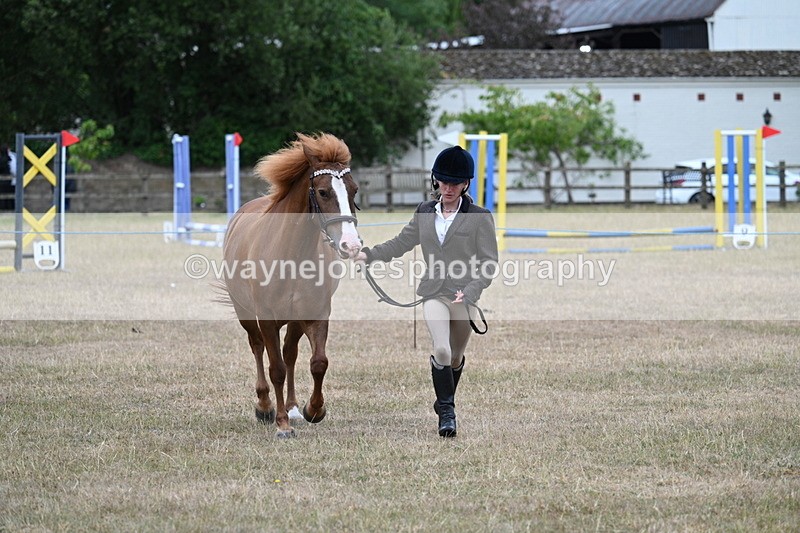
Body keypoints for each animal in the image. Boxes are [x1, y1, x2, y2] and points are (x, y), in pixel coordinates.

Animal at [221, 132, 361, 438]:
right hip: (246, 314)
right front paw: (282, 424)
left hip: (295, 320)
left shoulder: (316, 314)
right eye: (323, 192)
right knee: (258, 348)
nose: (351, 244)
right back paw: (265, 406)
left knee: (290, 353)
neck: (291, 254)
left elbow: (318, 363)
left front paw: (313, 409)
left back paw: (294, 407)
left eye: (354, 190)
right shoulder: (266, 319)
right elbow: (276, 369)